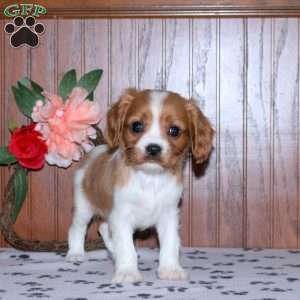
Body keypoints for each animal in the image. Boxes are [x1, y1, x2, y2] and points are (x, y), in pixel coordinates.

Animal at [67, 89, 214, 284]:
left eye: (174, 130)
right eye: (137, 126)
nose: (153, 148)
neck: (150, 178)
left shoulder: (169, 216)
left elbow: (170, 244)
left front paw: (170, 269)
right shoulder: (121, 216)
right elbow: (127, 246)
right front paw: (127, 272)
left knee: (103, 227)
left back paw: (112, 251)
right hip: (84, 206)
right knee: (77, 228)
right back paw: (75, 253)